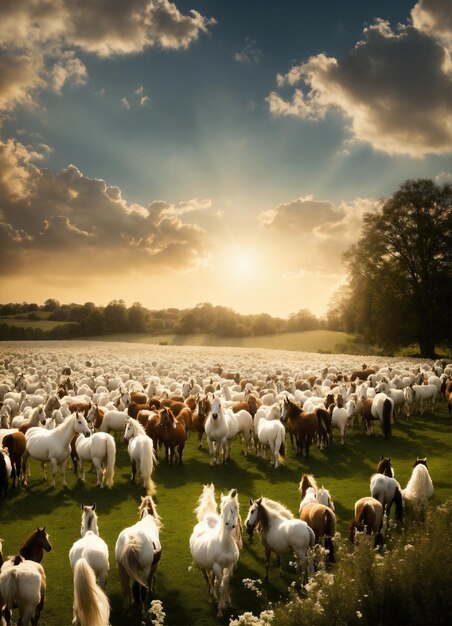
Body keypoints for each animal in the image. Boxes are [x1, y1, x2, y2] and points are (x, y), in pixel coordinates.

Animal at [189, 482, 242, 616]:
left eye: (235, 507)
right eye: (223, 508)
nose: (230, 524)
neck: (225, 545)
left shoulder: (229, 566)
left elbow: (226, 584)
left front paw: (227, 602)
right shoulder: (218, 567)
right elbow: (221, 586)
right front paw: (220, 609)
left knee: (212, 578)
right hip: (202, 565)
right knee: (207, 578)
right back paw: (212, 595)